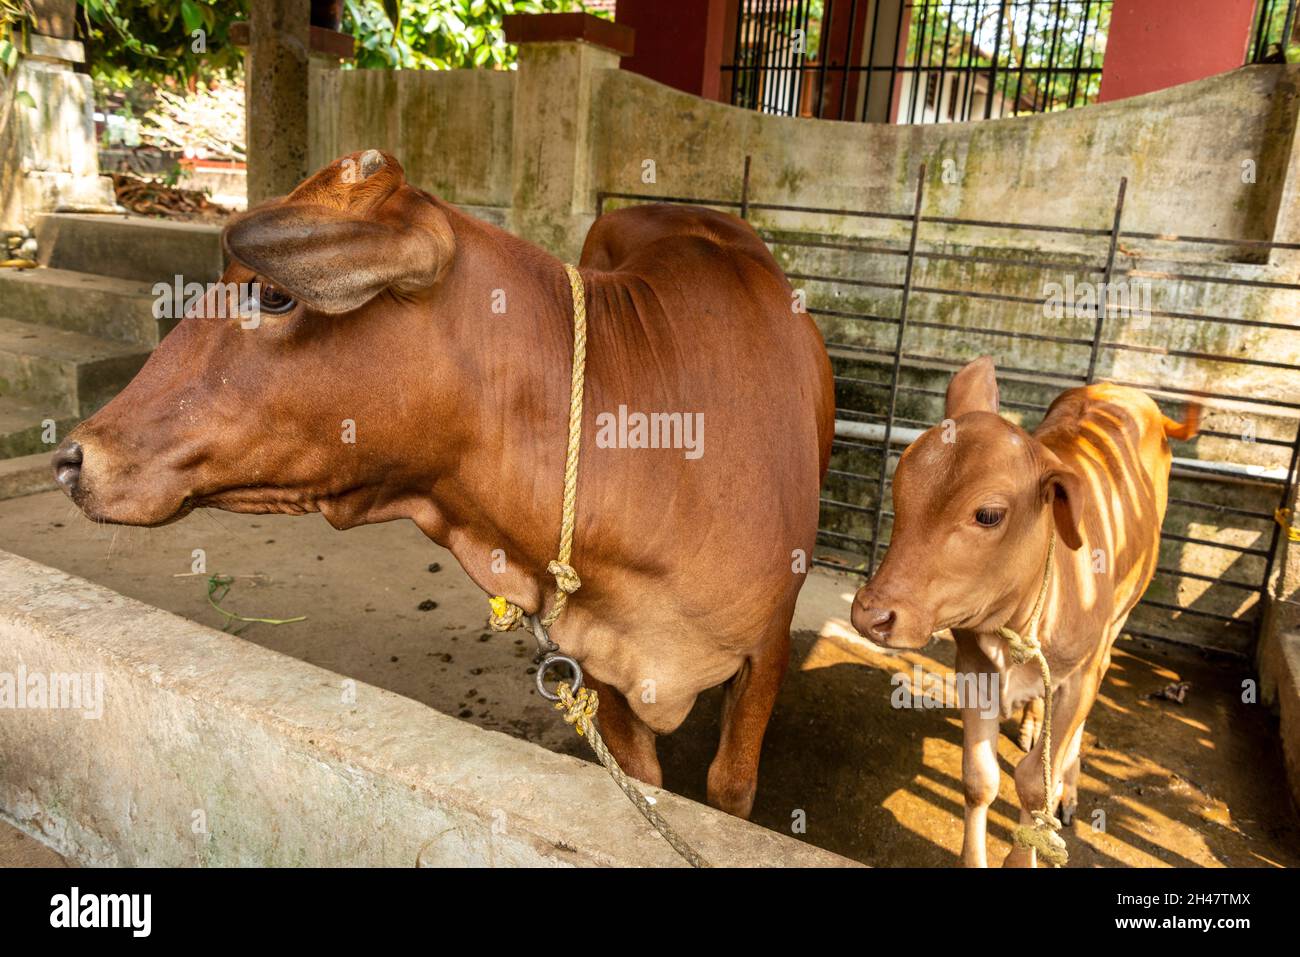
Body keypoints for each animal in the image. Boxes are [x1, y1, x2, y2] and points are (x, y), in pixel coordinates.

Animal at [50, 151, 832, 821]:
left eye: (273, 294)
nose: (72, 457)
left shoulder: (768, 646)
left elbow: (730, 788)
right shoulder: (599, 667)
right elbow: (645, 781)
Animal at [852, 358, 1196, 868]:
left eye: (989, 515)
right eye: (900, 487)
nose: (871, 613)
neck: (1020, 618)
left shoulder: (1080, 676)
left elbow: (1036, 787)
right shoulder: (973, 665)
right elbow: (979, 778)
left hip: (1117, 624)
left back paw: (1068, 785)